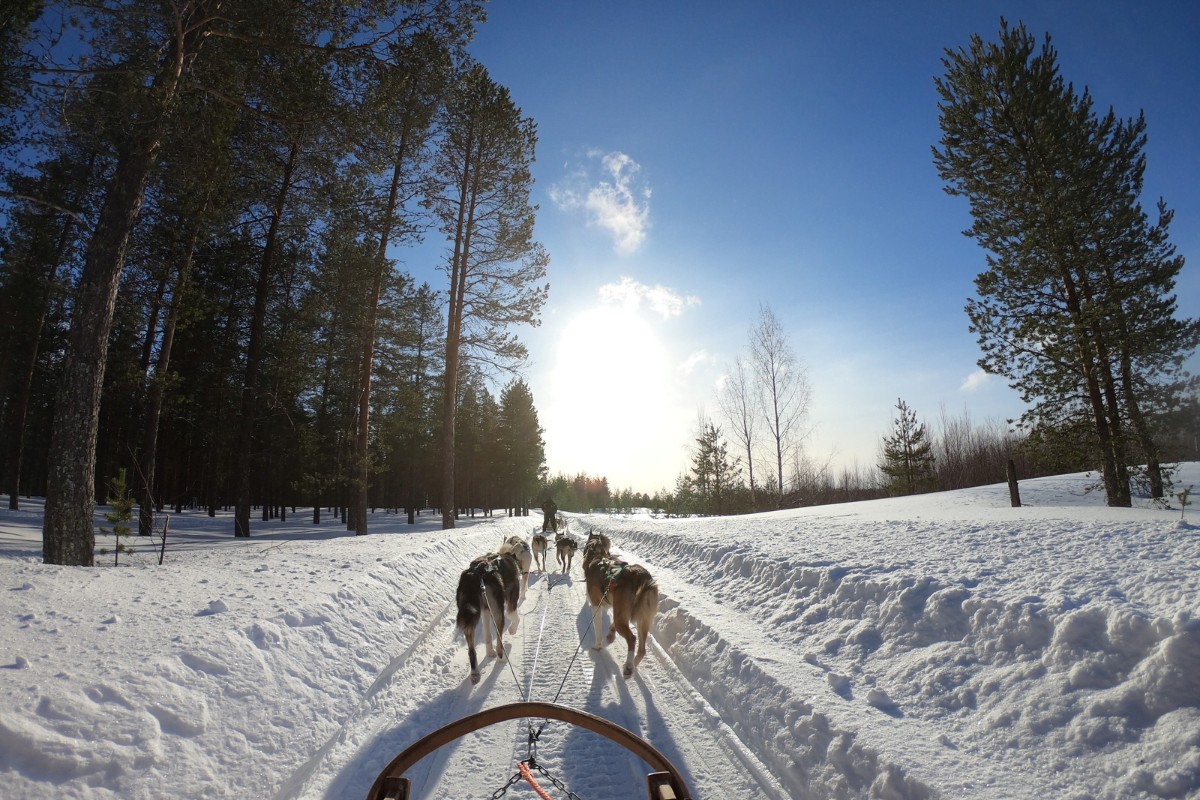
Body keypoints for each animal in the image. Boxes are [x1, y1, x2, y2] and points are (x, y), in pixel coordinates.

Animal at [453, 551, 520, 690]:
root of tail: (474, 575)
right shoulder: (511, 603)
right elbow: (514, 617)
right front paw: (512, 630)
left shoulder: (485, 610)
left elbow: (487, 635)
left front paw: (489, 652)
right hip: (498, 612)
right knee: (499, 644)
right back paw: (502, 658)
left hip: (470, 618)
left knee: (472, 651)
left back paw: (475, 673)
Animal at [578, 532, 657, 676]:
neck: (597, 555)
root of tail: (640, 577)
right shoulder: (616, 608)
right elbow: (611, 624)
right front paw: (610, 634)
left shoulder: (596, 606)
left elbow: (598, 631)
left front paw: (598, 645)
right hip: (642, 620)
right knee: (642, 649)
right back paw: (631, 664)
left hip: (626, 619)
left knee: (632, 639)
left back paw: (629, 667)